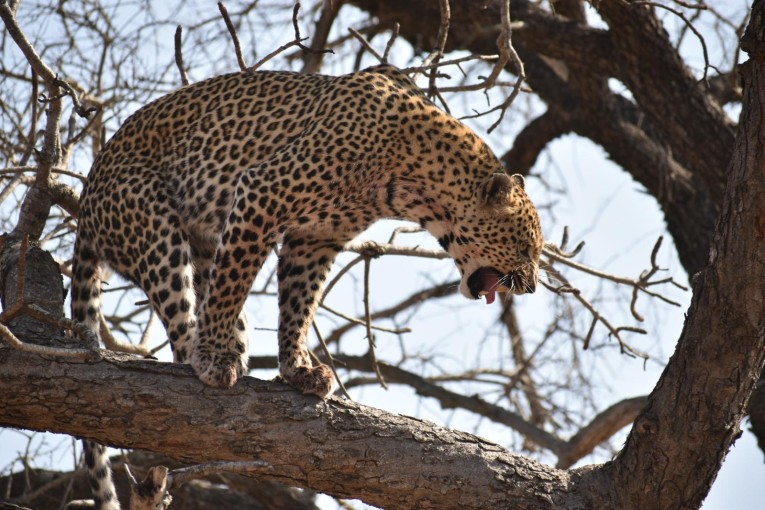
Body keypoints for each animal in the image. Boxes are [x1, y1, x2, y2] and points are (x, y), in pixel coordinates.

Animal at [70, 63, 536, 506]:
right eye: (527, 246)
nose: (530, 287)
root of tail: (88, 197)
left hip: (201, 239)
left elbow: (298, 304)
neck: (417, 185)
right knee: (184, 316)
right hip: (156, 229)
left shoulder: (316, 238)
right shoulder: (263, 192)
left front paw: (298, 370)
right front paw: (214, 356)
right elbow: (233, 283)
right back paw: (208, 356)